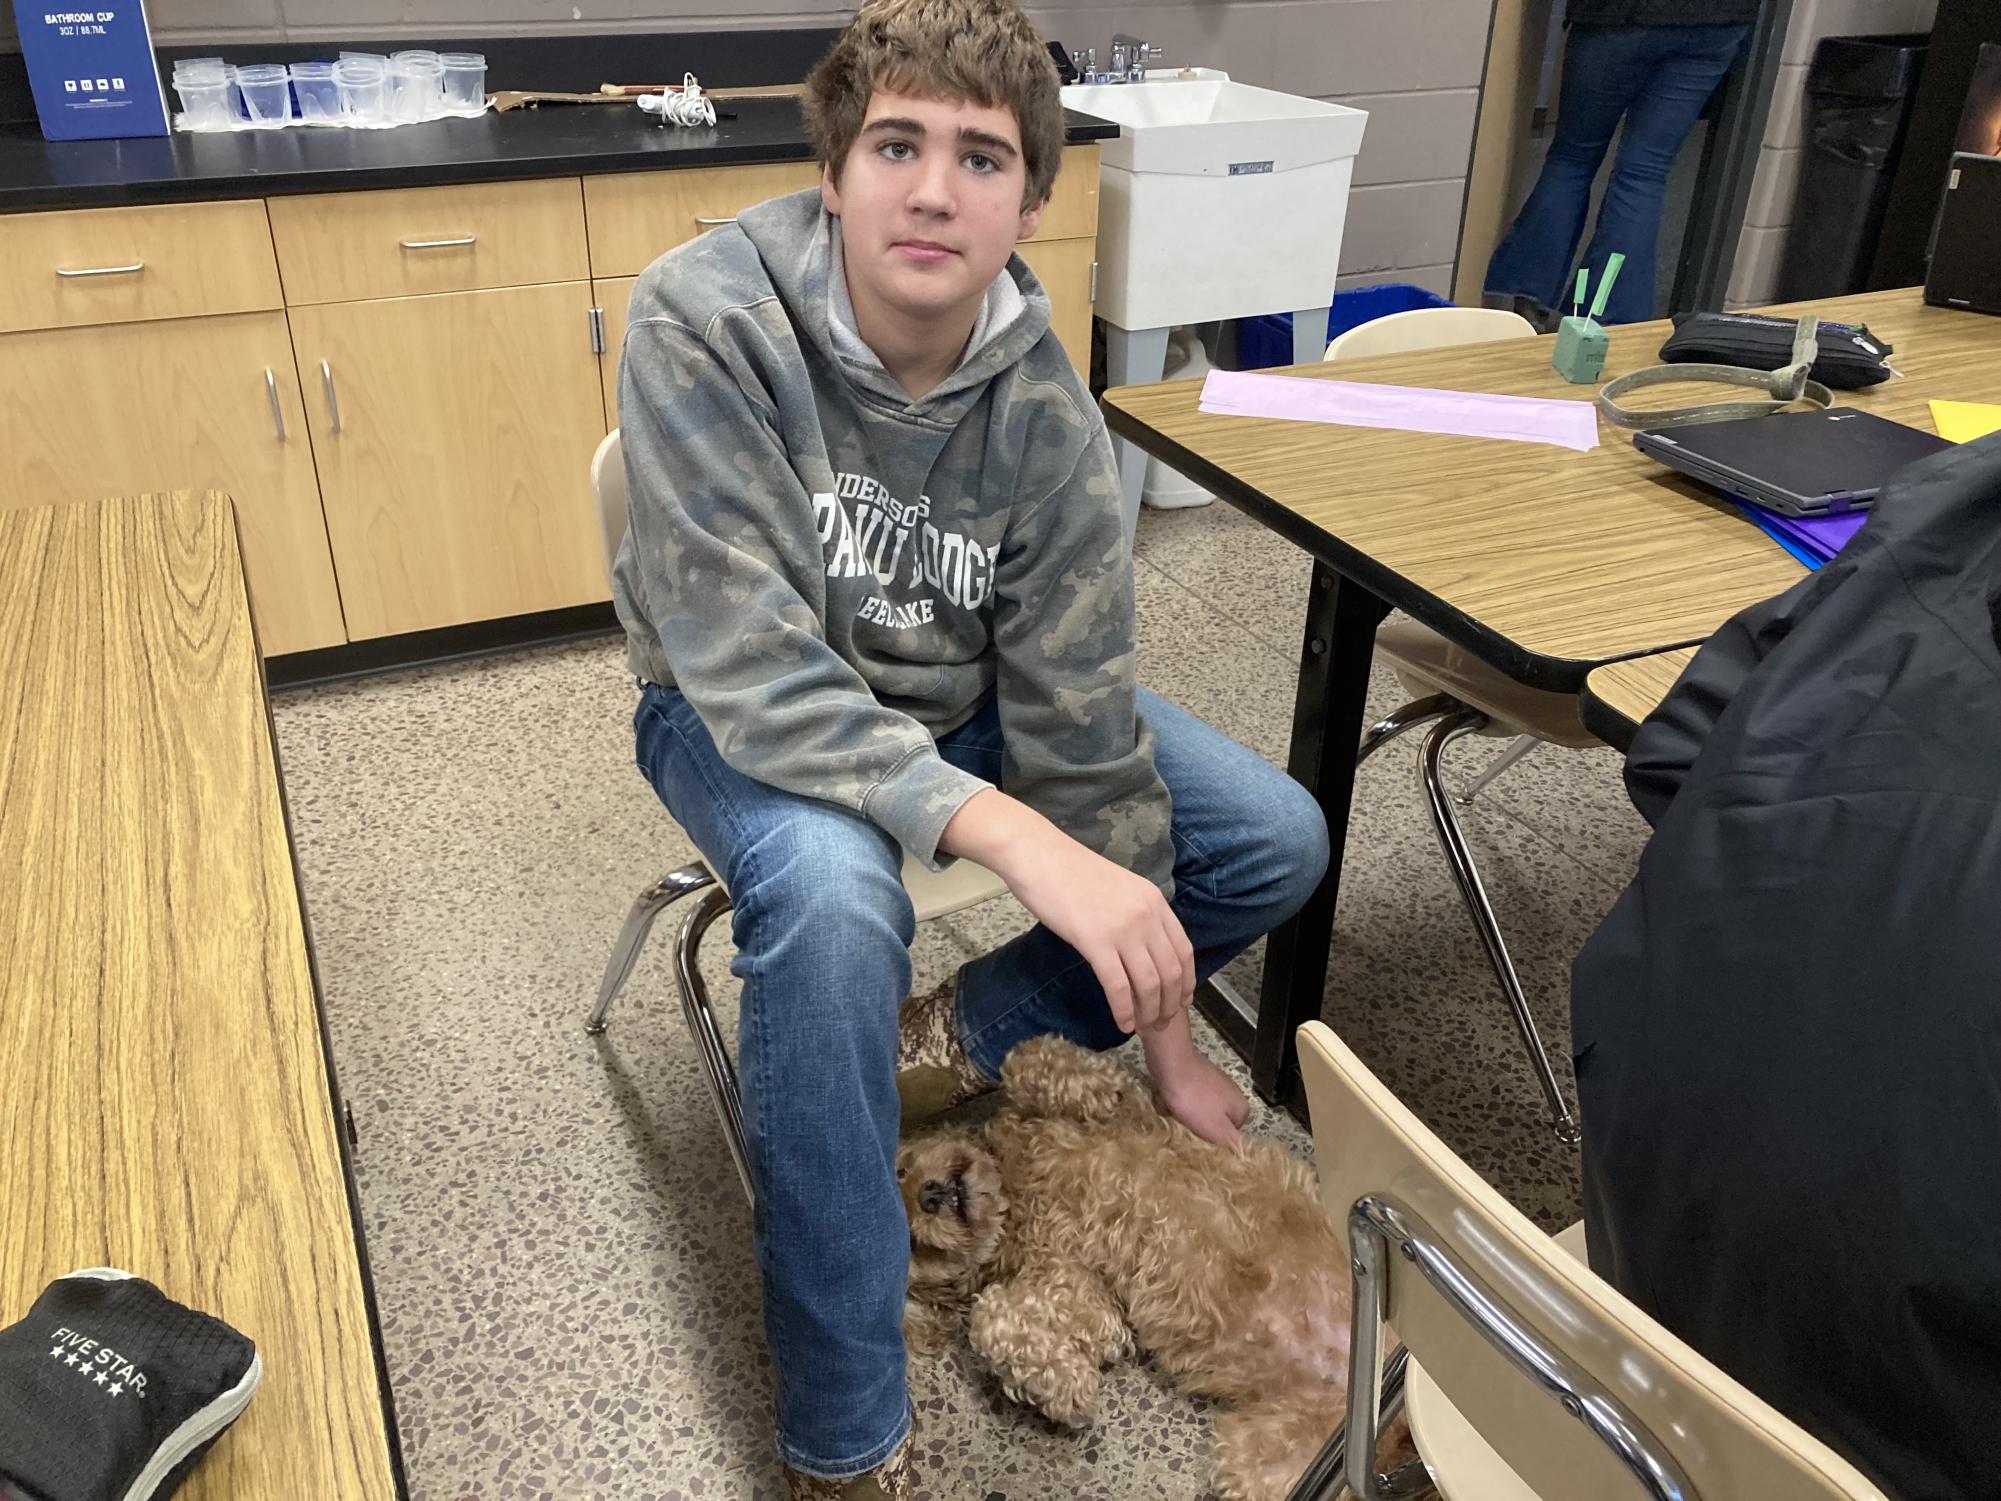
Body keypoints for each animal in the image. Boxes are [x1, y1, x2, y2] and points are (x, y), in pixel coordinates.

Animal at [904, 1040, 1360, 1496]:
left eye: (902, 1167)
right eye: (913, 1244)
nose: (929, 1195)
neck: (1018, 1190)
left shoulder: (1139, 1114)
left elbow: (1027, 1060)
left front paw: (1096, 1087)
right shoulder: (1087, 1295)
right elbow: (991, 1317)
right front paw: (1064, 1384)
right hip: (1265, 1463)